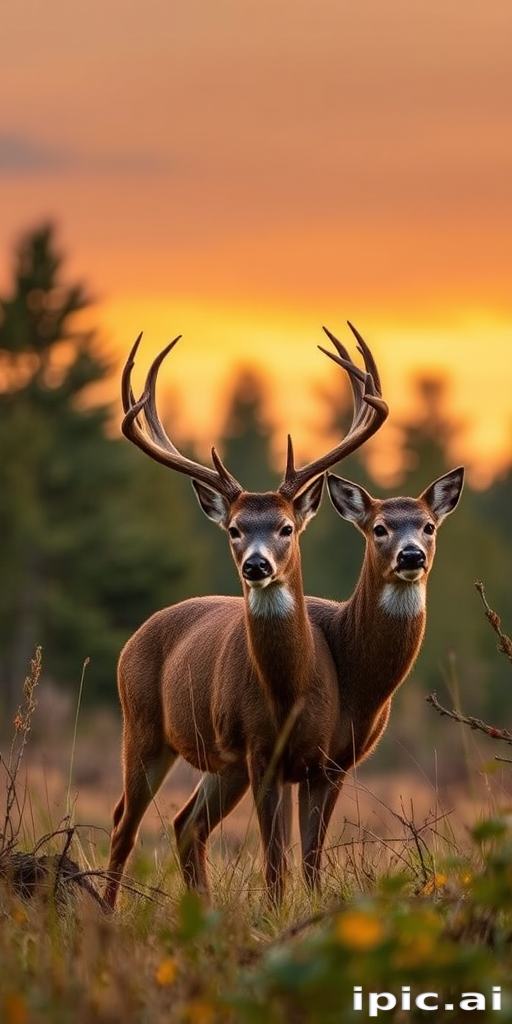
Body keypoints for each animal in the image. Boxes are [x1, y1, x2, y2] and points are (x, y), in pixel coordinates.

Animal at [104, 323, 388, 910]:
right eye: (235, 529)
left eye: (285, 527)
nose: (257, 564)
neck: (289, 690)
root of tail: (136, 637)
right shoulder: (261, 752)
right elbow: (275, 862)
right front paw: (279, 914)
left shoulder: (319, 762)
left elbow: (308, 862)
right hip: (143, 726)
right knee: (125, 824)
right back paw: (106, 911)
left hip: (221, 762)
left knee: (185, 824)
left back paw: (201, 908)